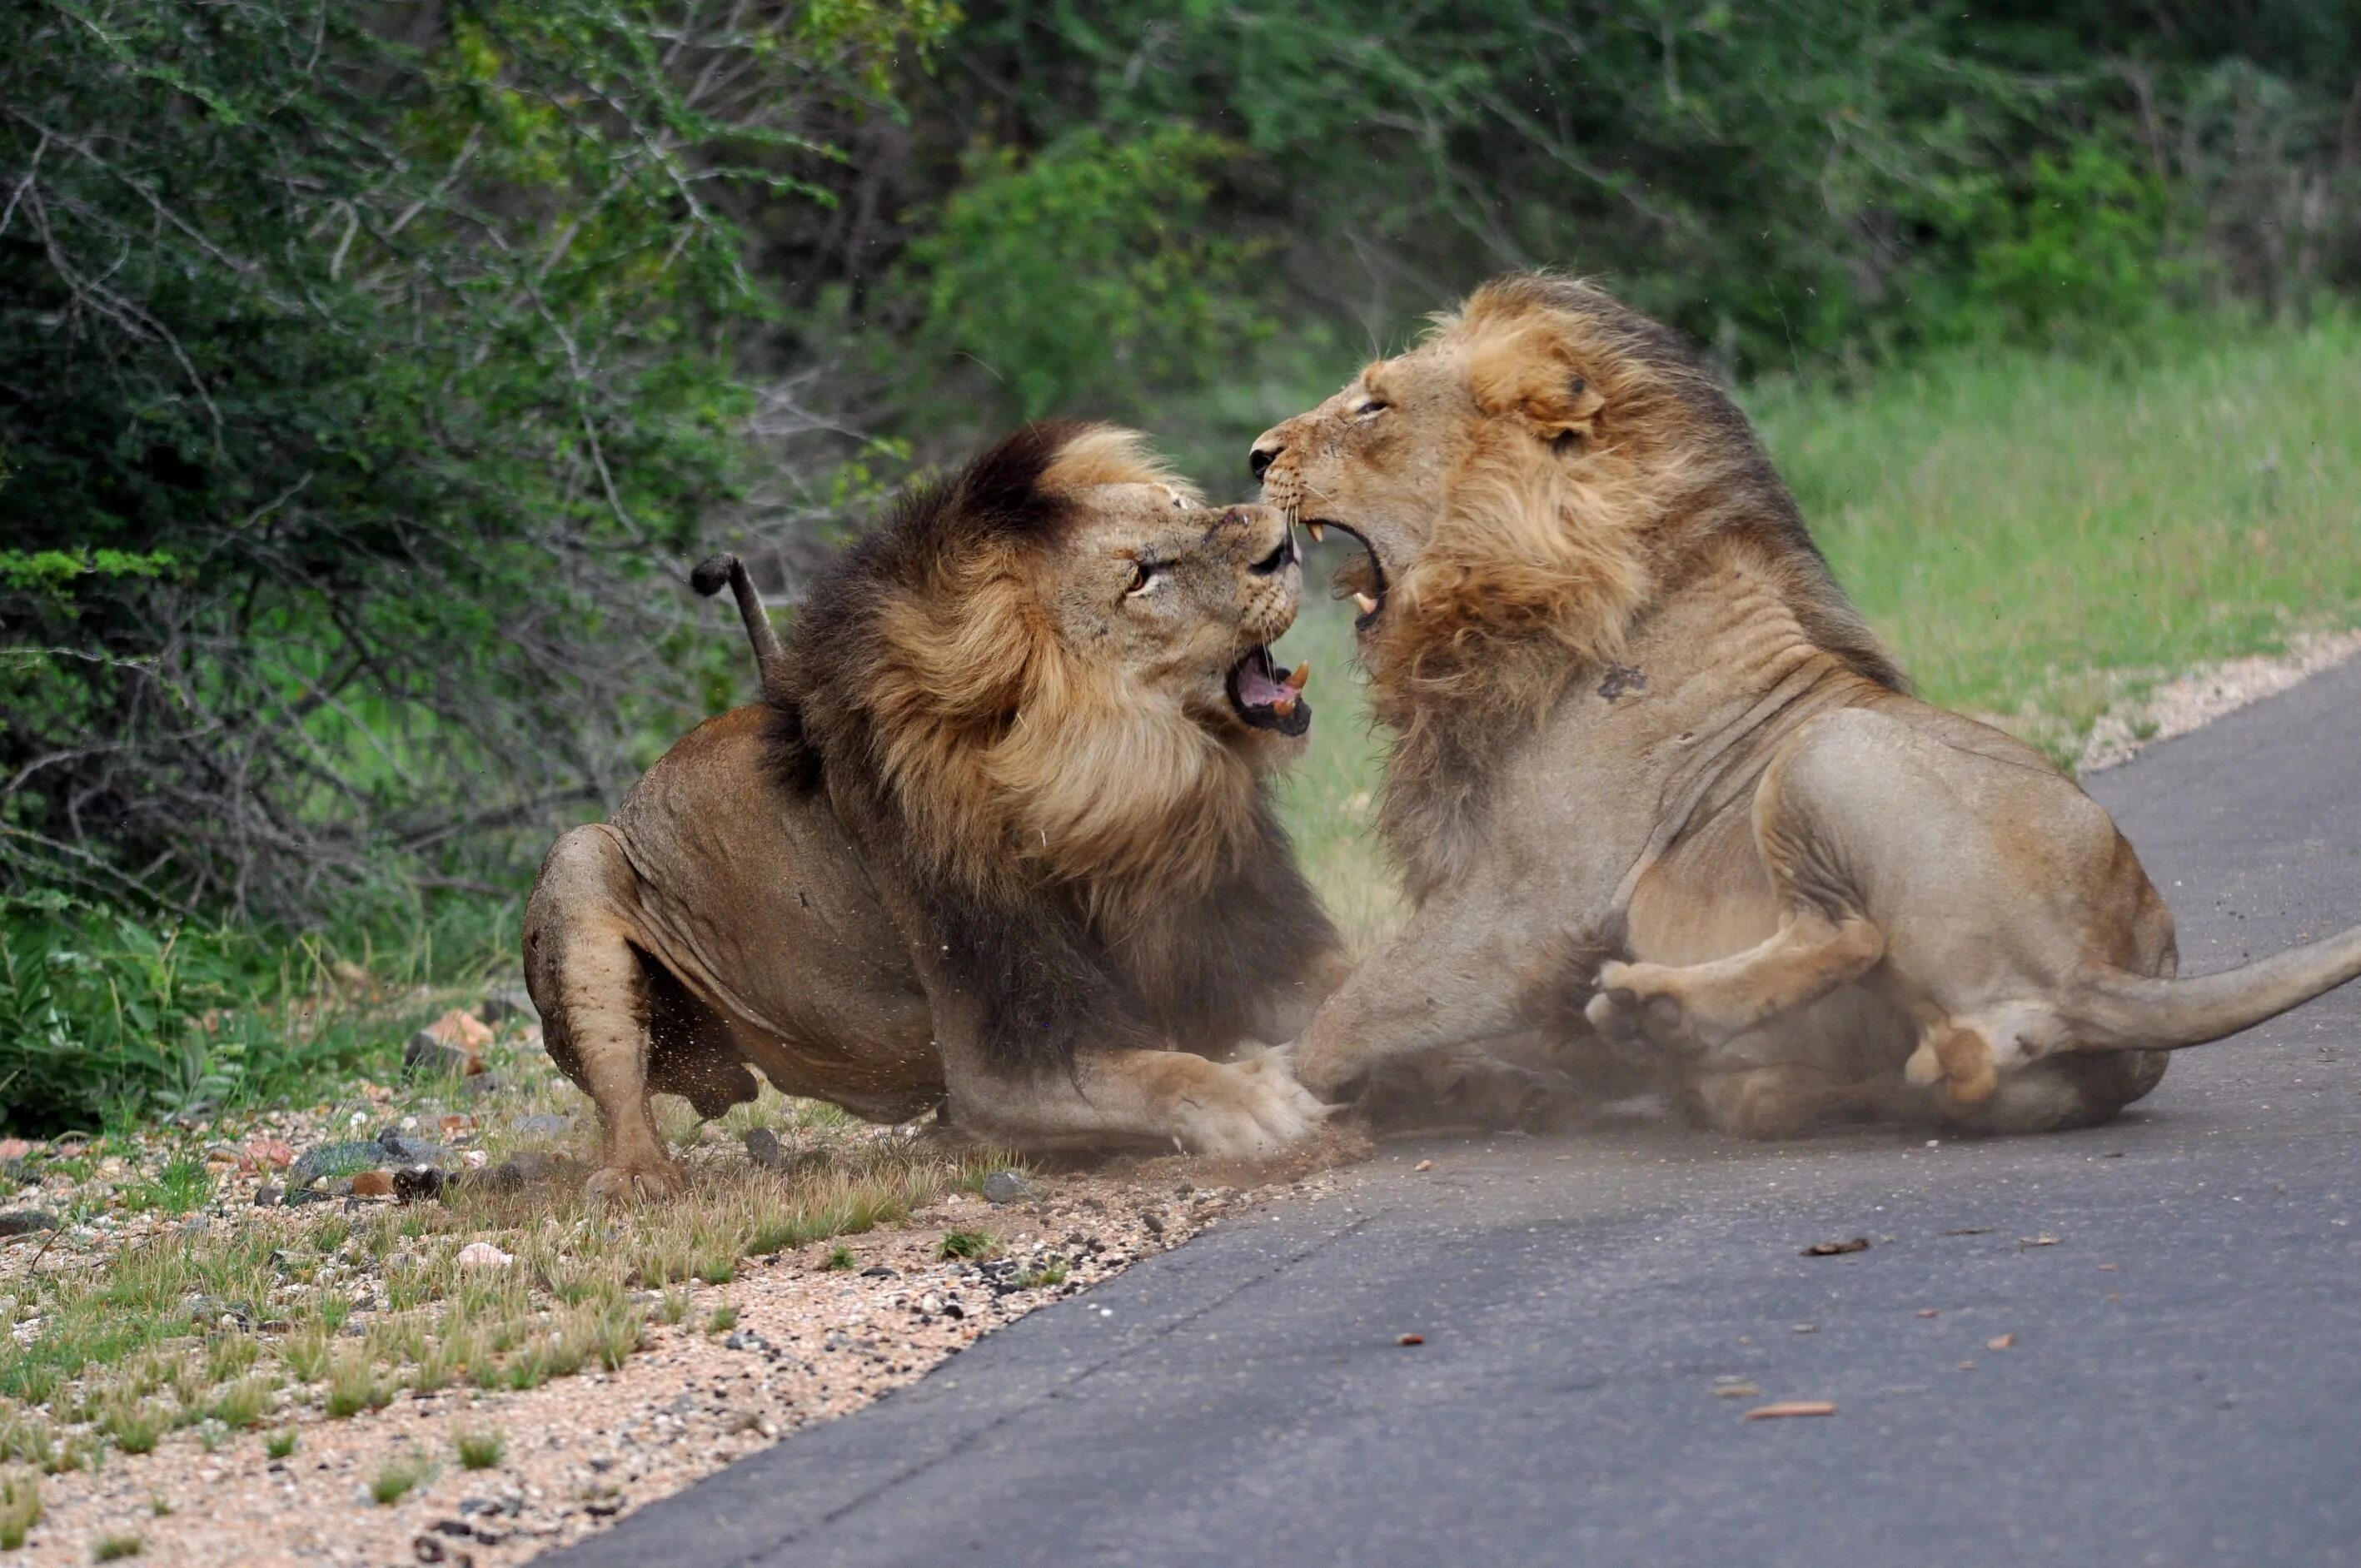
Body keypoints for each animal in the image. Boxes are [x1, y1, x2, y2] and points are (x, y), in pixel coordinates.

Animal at [524, 422, 1341, 1194]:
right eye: (1140, 577)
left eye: (1179, 506)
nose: (1281, 543)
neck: (1125, 793)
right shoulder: (1001, 1061)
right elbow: (1159, 1072)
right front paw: (1257, 1099)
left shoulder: (1232, 931)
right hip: (578, 857)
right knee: (623, 1098)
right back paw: (642, 1176)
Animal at [1256, 278, 2361, 1137]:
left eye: (1374, 406)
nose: (1259, 455)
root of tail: (2110, 969)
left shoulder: (1527, 907)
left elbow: (1349, 1010)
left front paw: (1272, 1089)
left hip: (1823, 748)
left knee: (1855, 936)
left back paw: (1655, 1010)